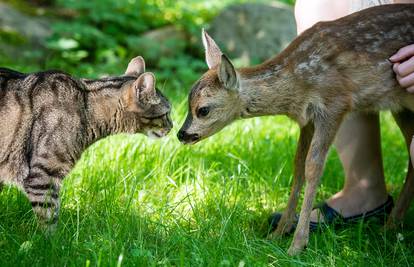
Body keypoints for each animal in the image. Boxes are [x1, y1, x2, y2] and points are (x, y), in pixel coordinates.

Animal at [0, 57, 173, 228]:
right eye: (167, 113)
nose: (172, 126)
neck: (85, 106)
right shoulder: (43, 177)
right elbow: (49, 218)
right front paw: (52, 237)